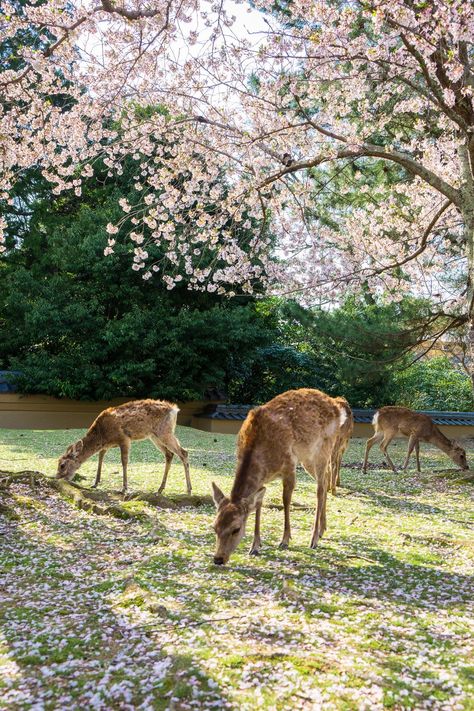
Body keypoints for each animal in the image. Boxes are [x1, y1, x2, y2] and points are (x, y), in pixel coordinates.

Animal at [55, 400, 189, 496]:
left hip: (164, 432)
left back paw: (188, 490)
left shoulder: (124, 438)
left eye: (62, 465)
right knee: (169, 454)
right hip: (154, 436)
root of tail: (174, 409)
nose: (56, 478)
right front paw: (95, 483)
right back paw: (160, 489)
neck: (102, 435)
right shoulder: (106, 446)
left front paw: (124, 488)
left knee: (183, 452)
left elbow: (124, 461)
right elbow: (100, 457)